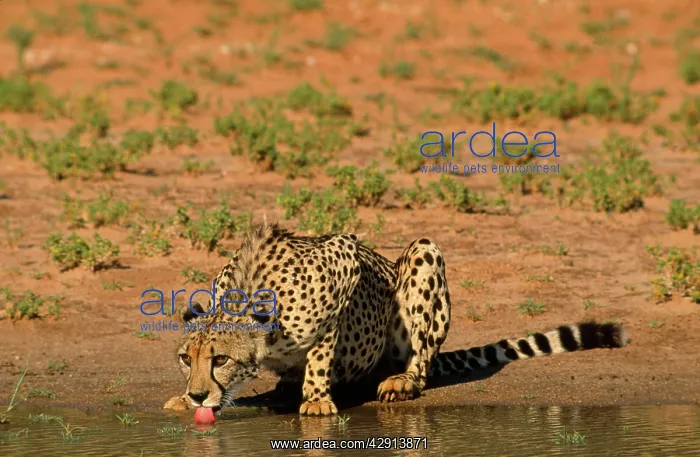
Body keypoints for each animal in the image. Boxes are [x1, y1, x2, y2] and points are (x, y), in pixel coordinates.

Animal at [164, 222, 629, 416]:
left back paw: (401, 381)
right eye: (187, 359)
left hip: (424, 255)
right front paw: (185, 398)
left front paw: (316, 398)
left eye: (220, 359)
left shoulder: (345, 259)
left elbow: (321, 355)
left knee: (420, 360)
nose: (199, 396)